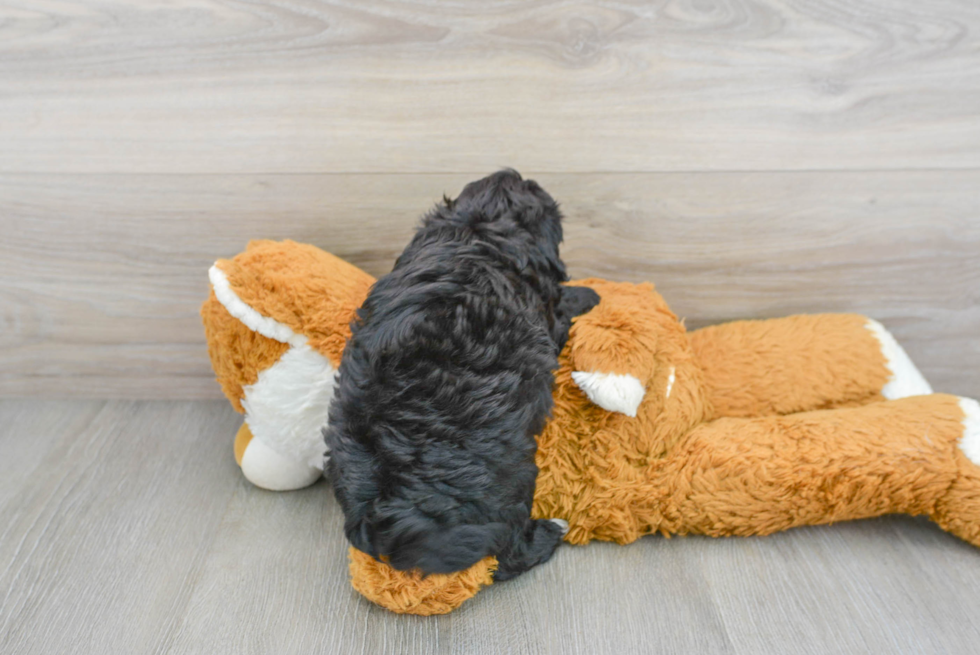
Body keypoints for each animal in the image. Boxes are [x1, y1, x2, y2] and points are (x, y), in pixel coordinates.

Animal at [324, 172, 596, 580]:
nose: (516, 172)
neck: (475, 232)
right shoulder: (548, 315)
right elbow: (563, 303)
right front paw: (589, 293)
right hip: (511, 475)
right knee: (505, 555)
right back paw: (551, 531)